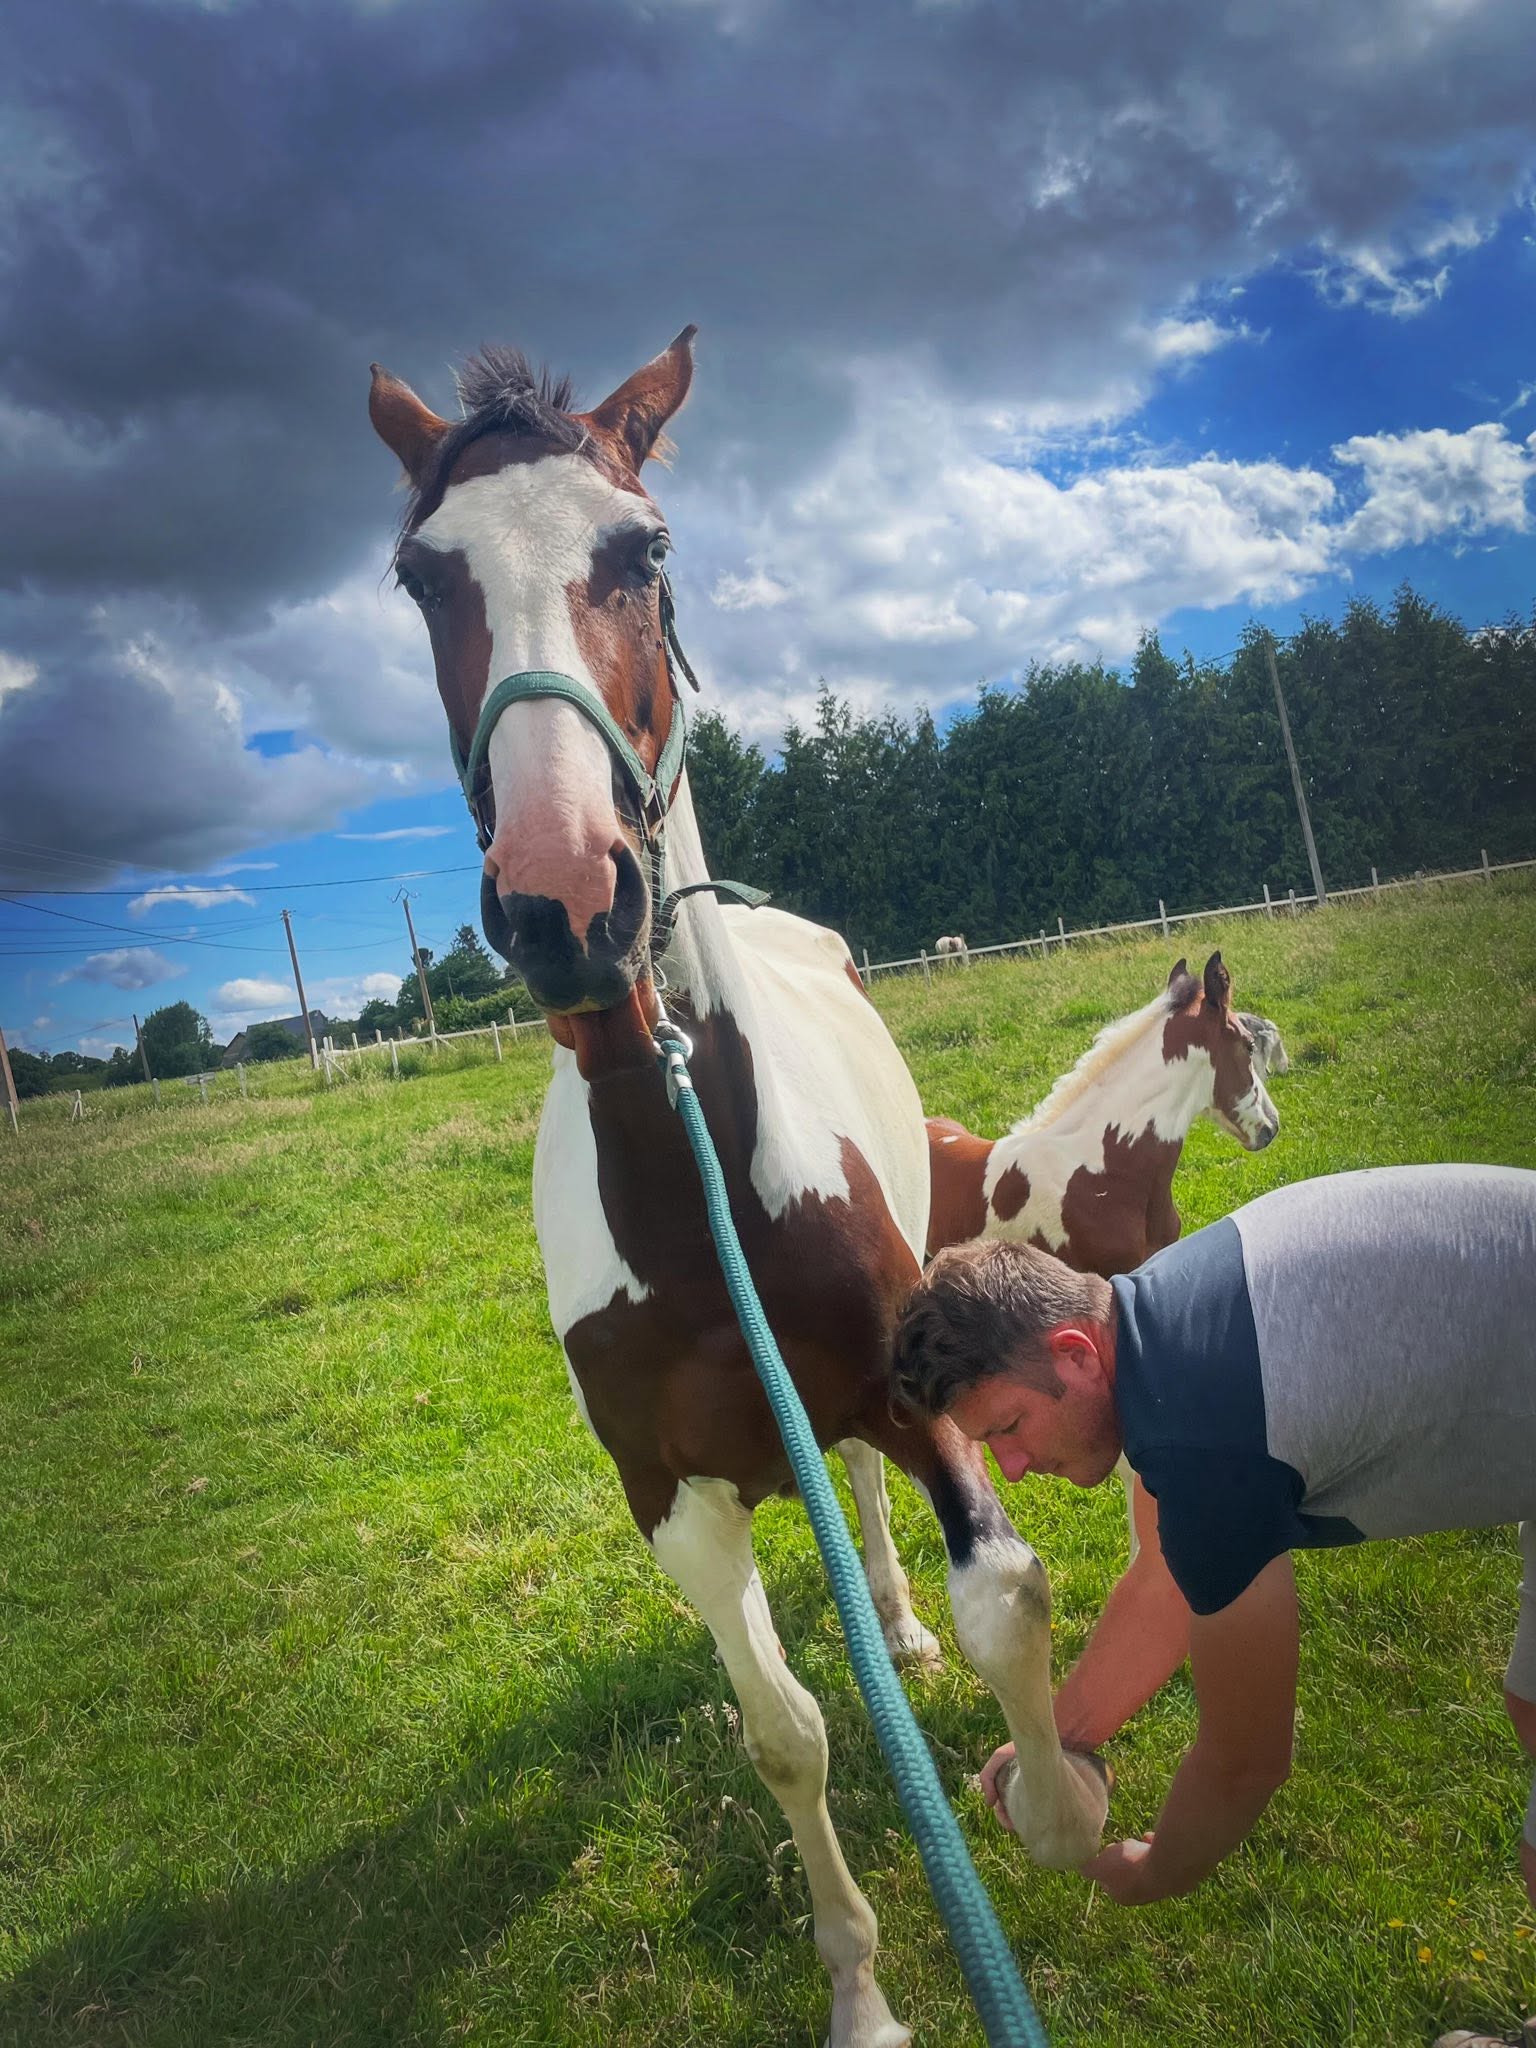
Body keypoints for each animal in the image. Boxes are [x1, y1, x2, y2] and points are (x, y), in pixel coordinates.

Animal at [368, 328, 1107, 2048]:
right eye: (421, 577)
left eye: (642, 550)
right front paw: (864, 1992)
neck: (693, 1183)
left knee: (875, 1515)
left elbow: (1009, 1597)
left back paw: (896, 1620)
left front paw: (1055, 1812)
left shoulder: (916, 1386)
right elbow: (785, 1735)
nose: (566, 899)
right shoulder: (672, 1502)